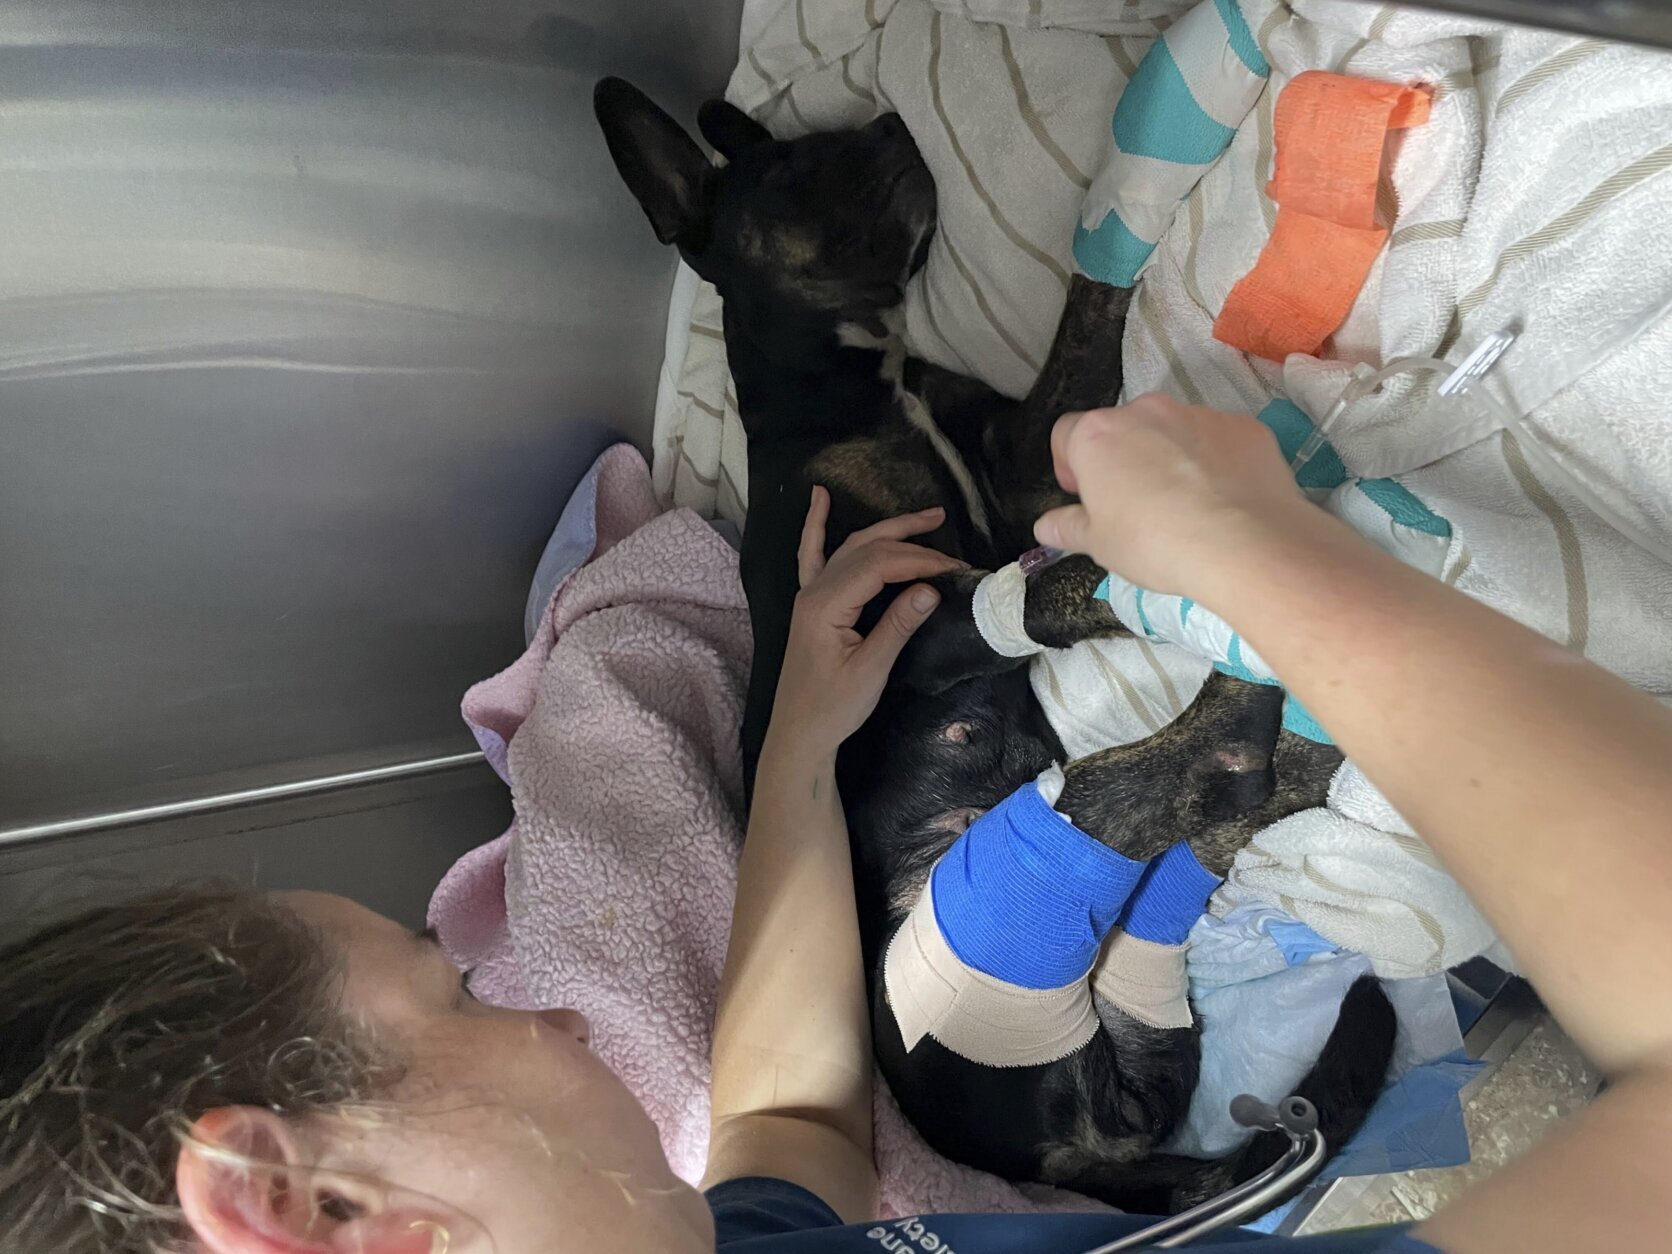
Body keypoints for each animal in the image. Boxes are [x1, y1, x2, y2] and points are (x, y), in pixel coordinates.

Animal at [594, 78, 1394, 1213]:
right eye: (792, 169)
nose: (891, 124)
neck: (868, 387)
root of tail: (1045, 1164)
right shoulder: (903, 606)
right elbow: (1060, 587)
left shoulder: (1019, 456)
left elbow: (1088, 315)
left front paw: (1142, 174)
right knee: (1165, 790)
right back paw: (1257, 715)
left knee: (1187, 840)